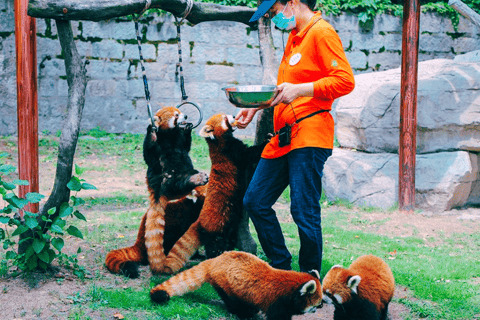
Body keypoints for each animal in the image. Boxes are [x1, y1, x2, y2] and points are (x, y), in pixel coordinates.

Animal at [150, 251, 322, 318]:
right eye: (318, 304)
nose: (316, 309)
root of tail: (215, 260)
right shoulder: (276, 302)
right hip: (225, 284)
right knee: (232, 301)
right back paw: (244, 313)